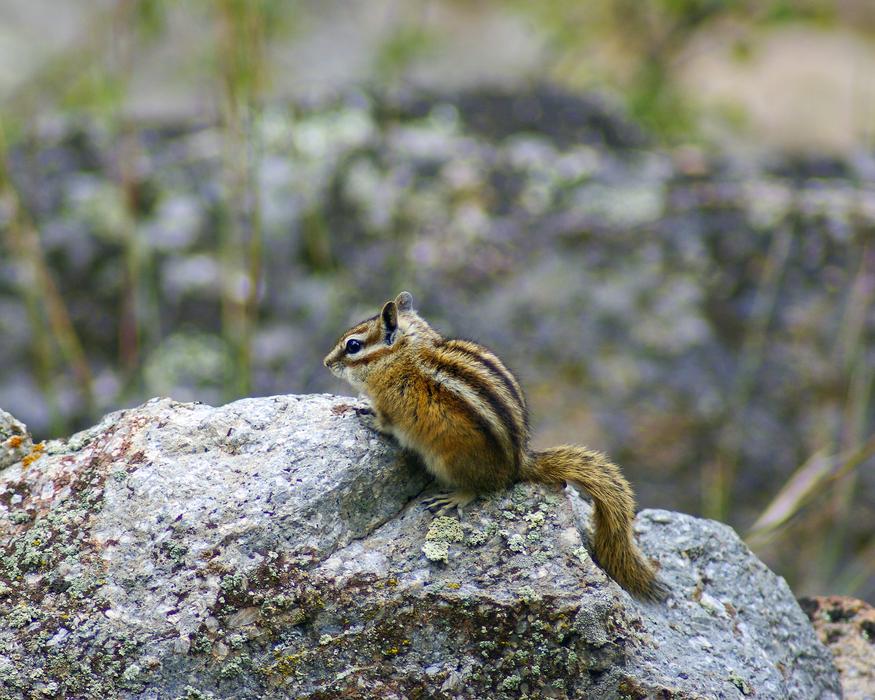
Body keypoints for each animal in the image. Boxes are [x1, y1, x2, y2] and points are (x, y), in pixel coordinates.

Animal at [324, 291, 666, 601]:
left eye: (353, 346)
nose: (326, 362)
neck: (403, 356)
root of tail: (517, 464)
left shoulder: (391, 406)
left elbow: (385, 423)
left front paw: (367, 416)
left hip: (447, 461)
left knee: (480, 487)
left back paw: (454, 498)